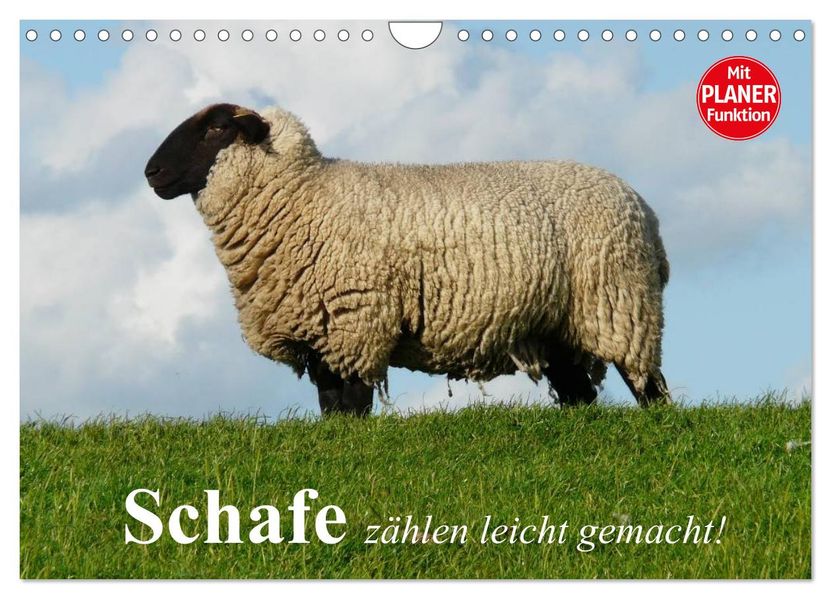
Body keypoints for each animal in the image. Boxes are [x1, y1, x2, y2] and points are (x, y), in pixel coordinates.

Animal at [144, 103, 671, 415]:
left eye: (216, 127)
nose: (152, 172)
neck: (302, 196)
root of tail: (644, 209)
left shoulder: (355, 322)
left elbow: (351, 404)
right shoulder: (321, 333)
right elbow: (331, 406)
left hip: (621, 304)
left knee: (648, 383)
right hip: (558, 324)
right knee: (579, 394)